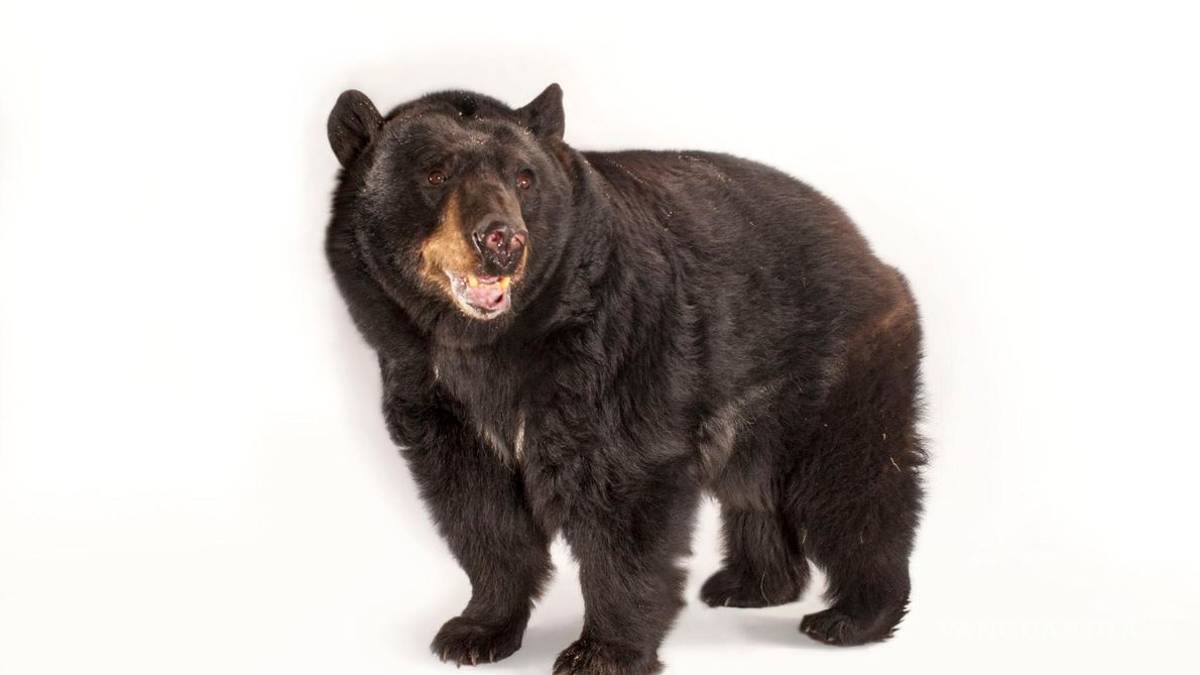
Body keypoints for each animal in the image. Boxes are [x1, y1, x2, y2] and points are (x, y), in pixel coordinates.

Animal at [324, 83, 926, 673]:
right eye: (435, 173)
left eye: (524, 177)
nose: (502, 240)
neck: (488, 345)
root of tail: (865, 249)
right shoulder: (434, 392)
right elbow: (479, 507)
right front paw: (476, 630)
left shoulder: (615, 350)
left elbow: (623, 493)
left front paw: (603, 652)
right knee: (753, 484)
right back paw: (752, 584)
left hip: (836, 360)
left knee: (852, 481)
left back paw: (853, 616)